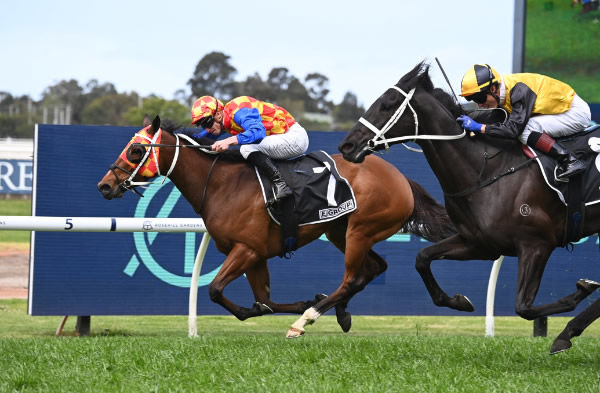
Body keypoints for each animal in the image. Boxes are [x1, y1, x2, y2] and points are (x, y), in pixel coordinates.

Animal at [98, 115, 454, 336]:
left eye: (136, 150)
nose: (105, 186)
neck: (223, 185)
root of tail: (401, 178)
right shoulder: (256, 256)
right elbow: (264, 302)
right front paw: (304, 301)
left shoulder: (246, 249)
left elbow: (217, 291)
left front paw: (304, 306)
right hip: (341, 231)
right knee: (372, 268)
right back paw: (338, 311)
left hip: (361, 230)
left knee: (354, 276)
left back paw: (308, 319)